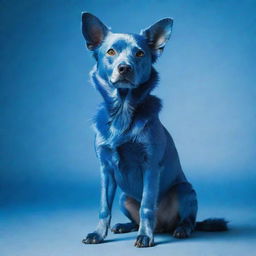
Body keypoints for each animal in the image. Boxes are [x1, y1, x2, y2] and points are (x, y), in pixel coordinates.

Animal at [81, 13, 227, 247]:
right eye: (111, 52)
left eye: (140, 53)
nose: (125, 68)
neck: (123, 112)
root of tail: (163, 226)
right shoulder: (106, 170)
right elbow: (104, 207)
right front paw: (98, 234)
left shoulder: (150, 166)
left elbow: (147, 206)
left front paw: (144, 236)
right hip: (124, 197)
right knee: (134, 217)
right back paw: (124, 226)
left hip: (184, 190)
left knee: (189, 221)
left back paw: (180, 230)